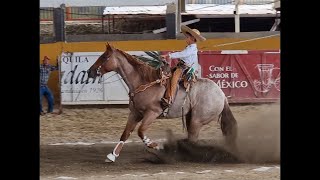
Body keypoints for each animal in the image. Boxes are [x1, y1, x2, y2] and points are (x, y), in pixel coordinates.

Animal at [87, 43, 238, 163]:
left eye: (105, 57)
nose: (90, 71)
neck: (144, 82)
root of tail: (222, 95)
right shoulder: (135, 113)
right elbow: (126, 133)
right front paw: (112, 156)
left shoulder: (152, 113)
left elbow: (141, 131)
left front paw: (156, 146)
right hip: (190, 117)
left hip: (197, 120)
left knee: (192, 140)